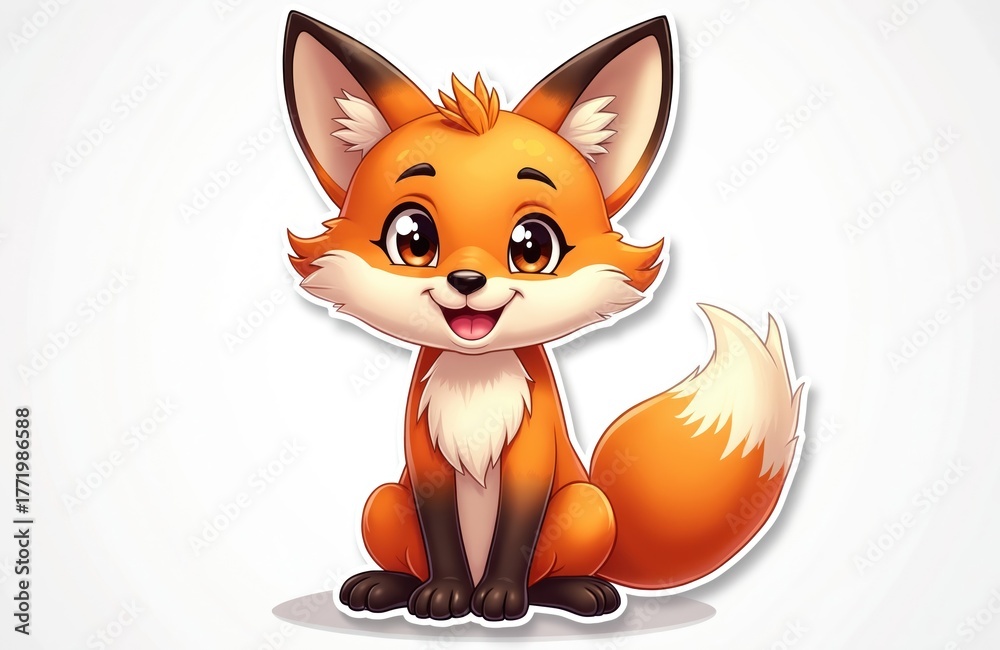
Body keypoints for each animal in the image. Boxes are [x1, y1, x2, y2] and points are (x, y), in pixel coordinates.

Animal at [281, 11, 807, 623]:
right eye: (412, 240)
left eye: (532, 246)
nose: (467, 282)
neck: (475, 380)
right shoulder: (426, 464)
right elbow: (441, 538)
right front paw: (445, 597)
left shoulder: (533, 459)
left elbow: (516, 530)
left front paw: (500, 600)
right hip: (384, 503)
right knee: (405, 550)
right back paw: (386, 587)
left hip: (584, 505)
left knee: (557, 572)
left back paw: (574, 594)